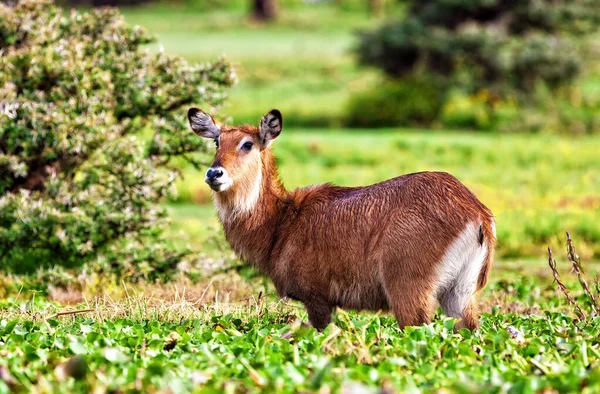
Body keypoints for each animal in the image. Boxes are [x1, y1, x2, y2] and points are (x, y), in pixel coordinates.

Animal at [188, 107, 496, 330]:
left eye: (247, 144)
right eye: (217, 141)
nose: (214, 173)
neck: (282, 221)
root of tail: (476, 211)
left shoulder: (317, 299)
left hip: (409, 291)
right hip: (458, 294)